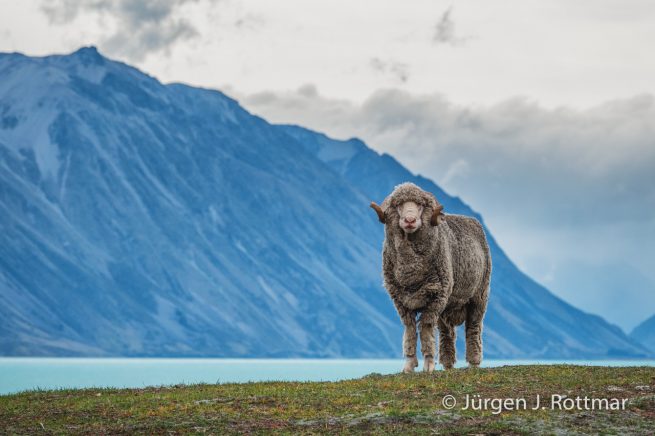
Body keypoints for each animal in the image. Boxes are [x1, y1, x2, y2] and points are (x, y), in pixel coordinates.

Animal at [370, 183, 491, 373]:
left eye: (420, 205)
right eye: (398, 205)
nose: (409, 220)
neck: (410, 270)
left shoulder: (435, 297)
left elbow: (426, 328)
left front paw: (428, 364)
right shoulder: (401, 300)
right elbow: (410, 329)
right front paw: (409, 364)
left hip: (478, 296)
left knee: (473, 327)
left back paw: (474, 362)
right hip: (447, 304)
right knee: (447, 332)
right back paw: (448, 364)